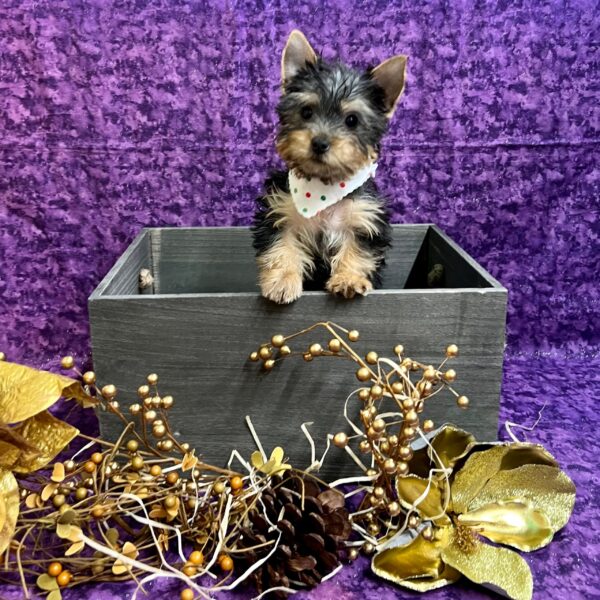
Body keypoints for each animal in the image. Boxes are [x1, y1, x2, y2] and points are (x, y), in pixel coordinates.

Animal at [251, 31, 406, 304]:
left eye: (352, 120)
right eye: (306, 112)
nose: (320, 142)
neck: (324, 186)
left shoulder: (365, 217)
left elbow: (358, 250)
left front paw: (349, 279)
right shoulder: (279, 212)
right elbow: (281, 245)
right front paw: (282, 280)